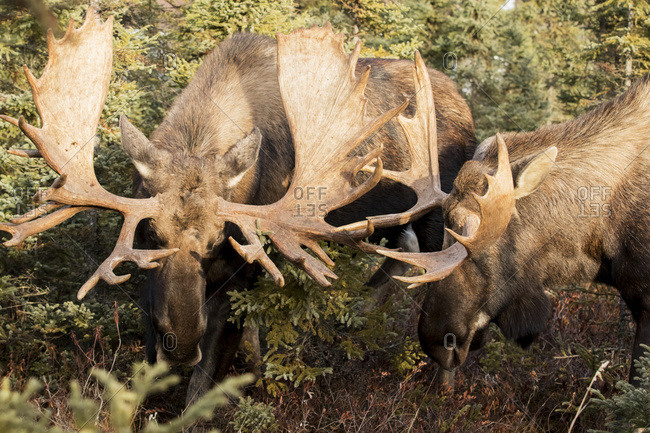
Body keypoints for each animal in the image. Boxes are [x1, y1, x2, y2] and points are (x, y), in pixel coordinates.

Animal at [0, 11, 477, 401]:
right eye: (151, 233)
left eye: (218, 240)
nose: (181, 344)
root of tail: (463, 101)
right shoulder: (147, 279)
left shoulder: (244, 269)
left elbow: (203, 382)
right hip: (390, 220)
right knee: (396, 256)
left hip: (440, 212)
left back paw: (443, 387)